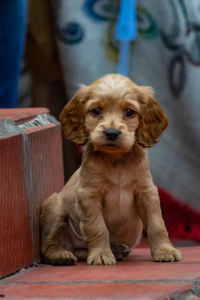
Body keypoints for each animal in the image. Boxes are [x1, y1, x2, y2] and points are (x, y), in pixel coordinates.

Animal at [40, 74, 181, 264]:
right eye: (96, 111)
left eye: (129, 112)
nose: (112, 133)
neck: (116, 159)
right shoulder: (89, 194)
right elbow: (97, 227)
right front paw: (101, 254)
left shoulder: (147, 191)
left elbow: (156, 224)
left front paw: (165, 250)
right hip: (55, 207)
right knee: (49, 245)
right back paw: (61, 255)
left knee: (80, 250)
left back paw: (117, 249)